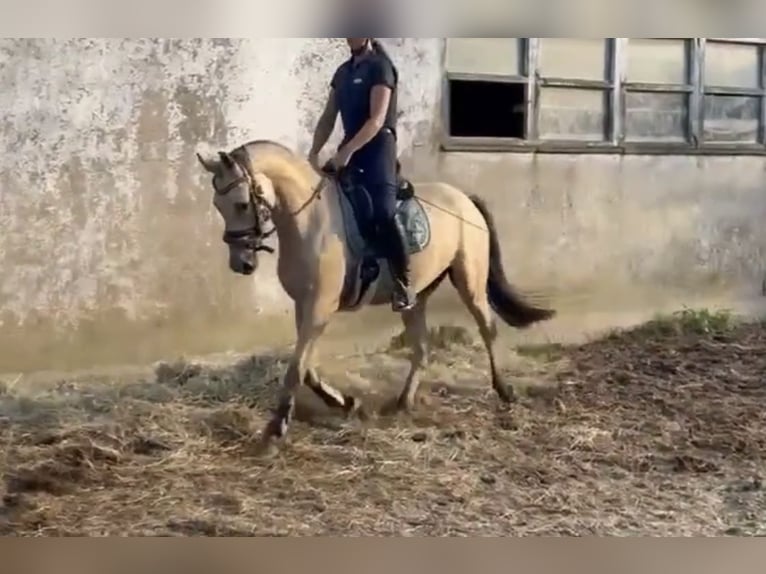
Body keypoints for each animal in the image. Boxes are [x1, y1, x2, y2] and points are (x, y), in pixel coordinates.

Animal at [196, 140, 560, 450]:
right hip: (416, 296)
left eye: (242, 203)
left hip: (469, 281)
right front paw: (347, 402)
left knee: (487, 328)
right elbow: (306, 366)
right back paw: (402, 402)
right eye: (217, 205)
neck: (311, 221)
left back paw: (504, 390)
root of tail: (464, 198)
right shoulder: (306, 305)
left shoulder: (320, 307)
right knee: (422, 348)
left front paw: (274, 431)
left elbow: (297, 367)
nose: (241, 263)